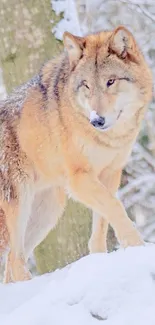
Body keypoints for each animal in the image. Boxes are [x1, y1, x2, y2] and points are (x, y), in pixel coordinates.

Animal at [0, 26, 153, 280]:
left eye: (110, 81)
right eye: (86, 85)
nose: (97, 120)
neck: (107, 139)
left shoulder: (110, 175)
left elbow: (102, 221)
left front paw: (100, 259)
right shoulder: (79, 179)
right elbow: (115, 207)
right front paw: (136, 247)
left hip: (48, 211)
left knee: (12, 262)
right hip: (19, 205)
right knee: (14, 260)